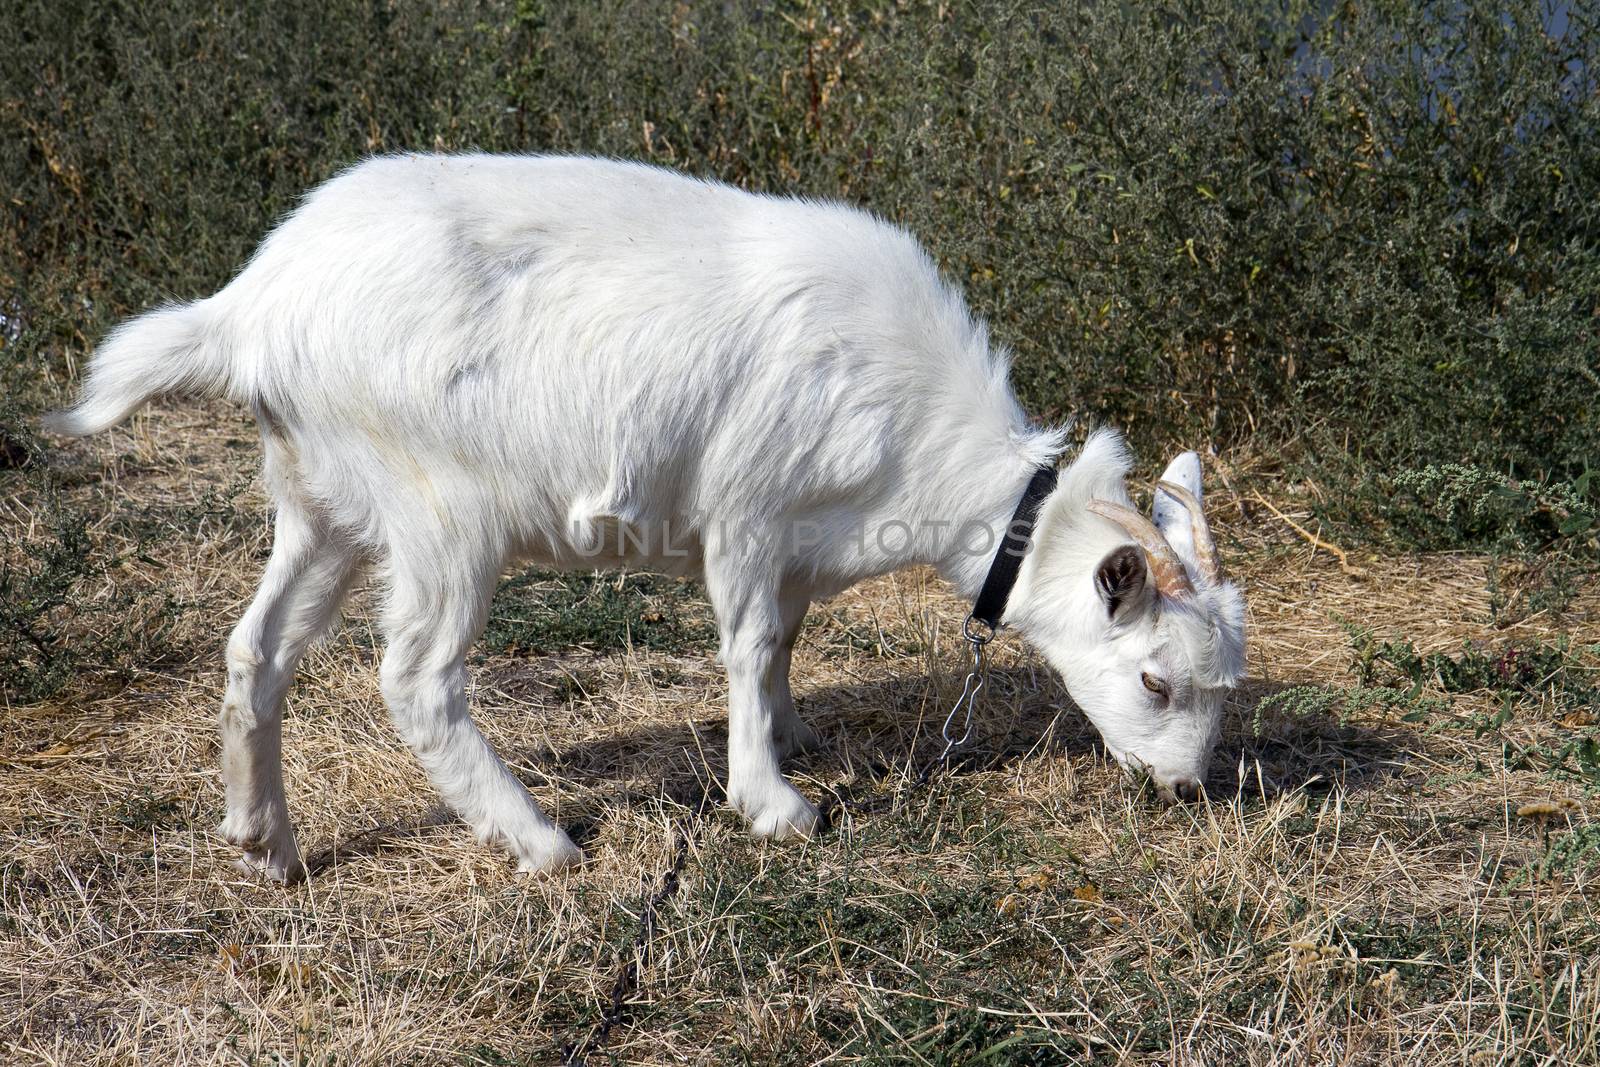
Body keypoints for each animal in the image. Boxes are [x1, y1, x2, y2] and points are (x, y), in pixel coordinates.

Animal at [53, 151, 1248, 883]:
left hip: (320, 498)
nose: (1189, 788)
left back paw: (267, 839)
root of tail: (252, 306)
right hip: (441, 506)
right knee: (416, 677)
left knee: (254, 649)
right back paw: (539, 840)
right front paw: (774, 802)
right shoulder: (748, 507)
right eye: (1156, 680)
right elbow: (751, 641)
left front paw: (796, 733)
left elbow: (785, 642)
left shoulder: (796, 542)